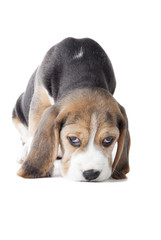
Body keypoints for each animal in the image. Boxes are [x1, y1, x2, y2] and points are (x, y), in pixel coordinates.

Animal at [12, 37, 131, 181]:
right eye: (73, 139)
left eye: (108, 140)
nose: (91, 174)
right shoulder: (39, 101)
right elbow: (34, 130)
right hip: (17, 108)